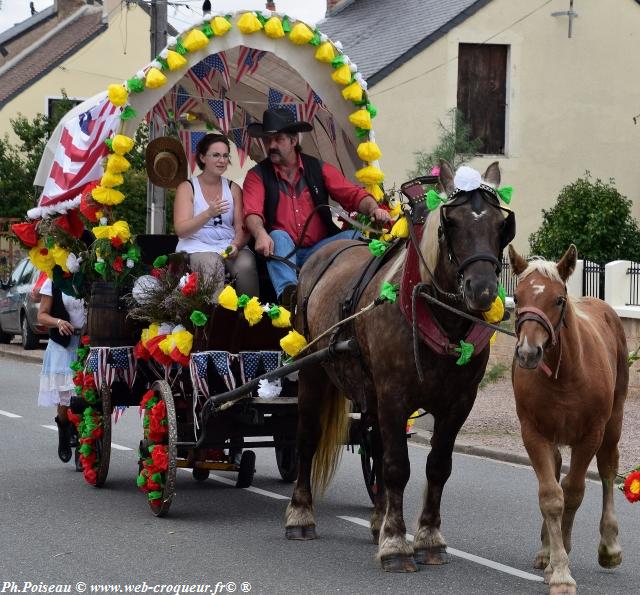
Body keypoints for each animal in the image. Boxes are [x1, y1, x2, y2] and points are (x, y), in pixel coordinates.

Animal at [284, 162, 516, 572]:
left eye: (501, 224)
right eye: (450, 223)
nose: (484, 290)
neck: (434, 314)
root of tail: (322, 253)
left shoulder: (459, 403)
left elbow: (436, 466)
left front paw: (428, 539)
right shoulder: (394, 395)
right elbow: (397, 467)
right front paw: (395, 544)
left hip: (370, 389)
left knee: (374, 444)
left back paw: (378, 520)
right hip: (313, 371)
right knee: (308, 437)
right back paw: (301, 515)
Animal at [510, 244, 632, 592]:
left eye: (558, 300)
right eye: (517, 297)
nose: (528, 352)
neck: (565, 374)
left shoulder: (590, 434)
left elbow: (574, 491)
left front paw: (561, 562)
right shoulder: (533, 432)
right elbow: (552, 495)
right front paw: (557, 564)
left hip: (613, 422)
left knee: (607, 470)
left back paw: (609, 546)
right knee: (554, 471)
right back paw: (546, 550)